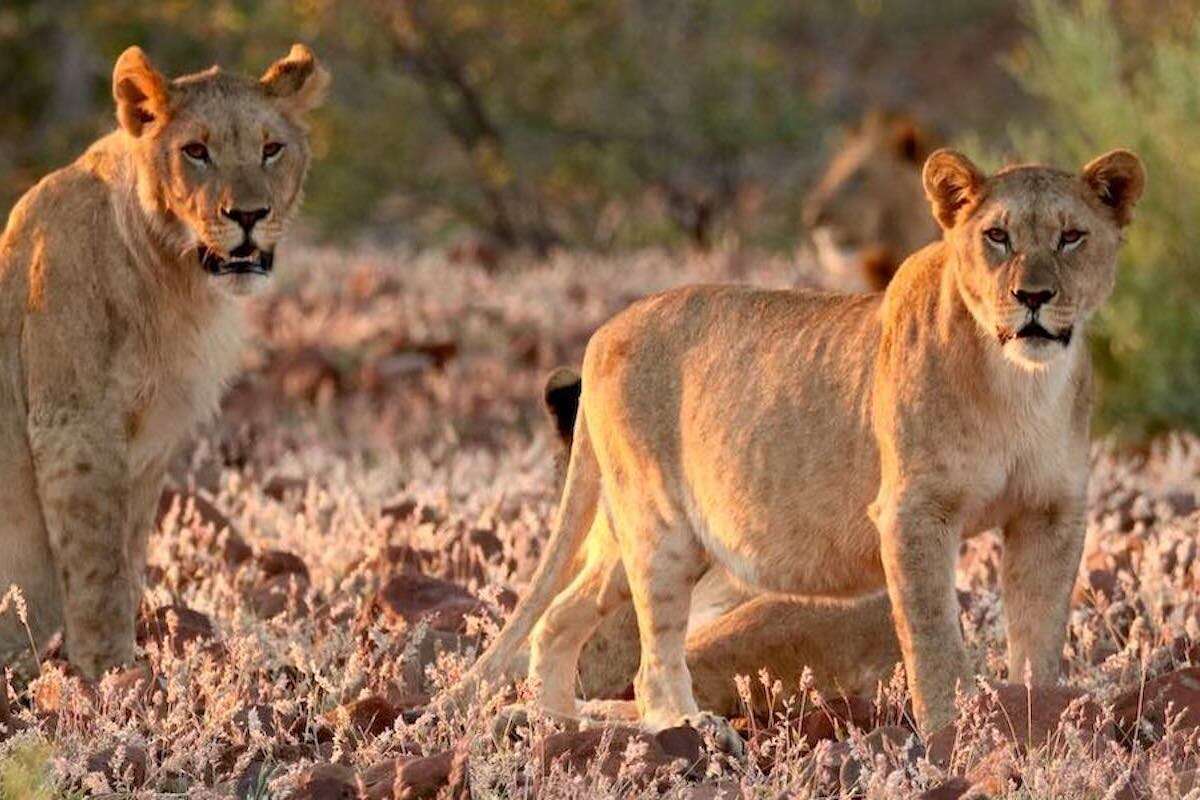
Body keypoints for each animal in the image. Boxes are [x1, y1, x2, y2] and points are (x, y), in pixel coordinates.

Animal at [0, 45, 328, 678]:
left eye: (271, 148)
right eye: (195, 151)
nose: (248, 215)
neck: (173, 279)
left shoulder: (150, 443)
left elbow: (126, 561)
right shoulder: (72, 425)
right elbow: (98, 570)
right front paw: (110, 675)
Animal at [446, 147, 1144, 741]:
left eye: (1071, 236)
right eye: (997, 237)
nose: (1033, 296)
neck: (1020, 385)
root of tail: (601, 333)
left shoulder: (1050, 512)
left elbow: (1038, 632)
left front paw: (1036, 712)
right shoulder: (914, 513)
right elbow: (934, 639)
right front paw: (954, 734)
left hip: (632, 535)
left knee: (558, 618)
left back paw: (555, 722)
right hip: (660, 527)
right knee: (649, 663)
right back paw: (691, 728)